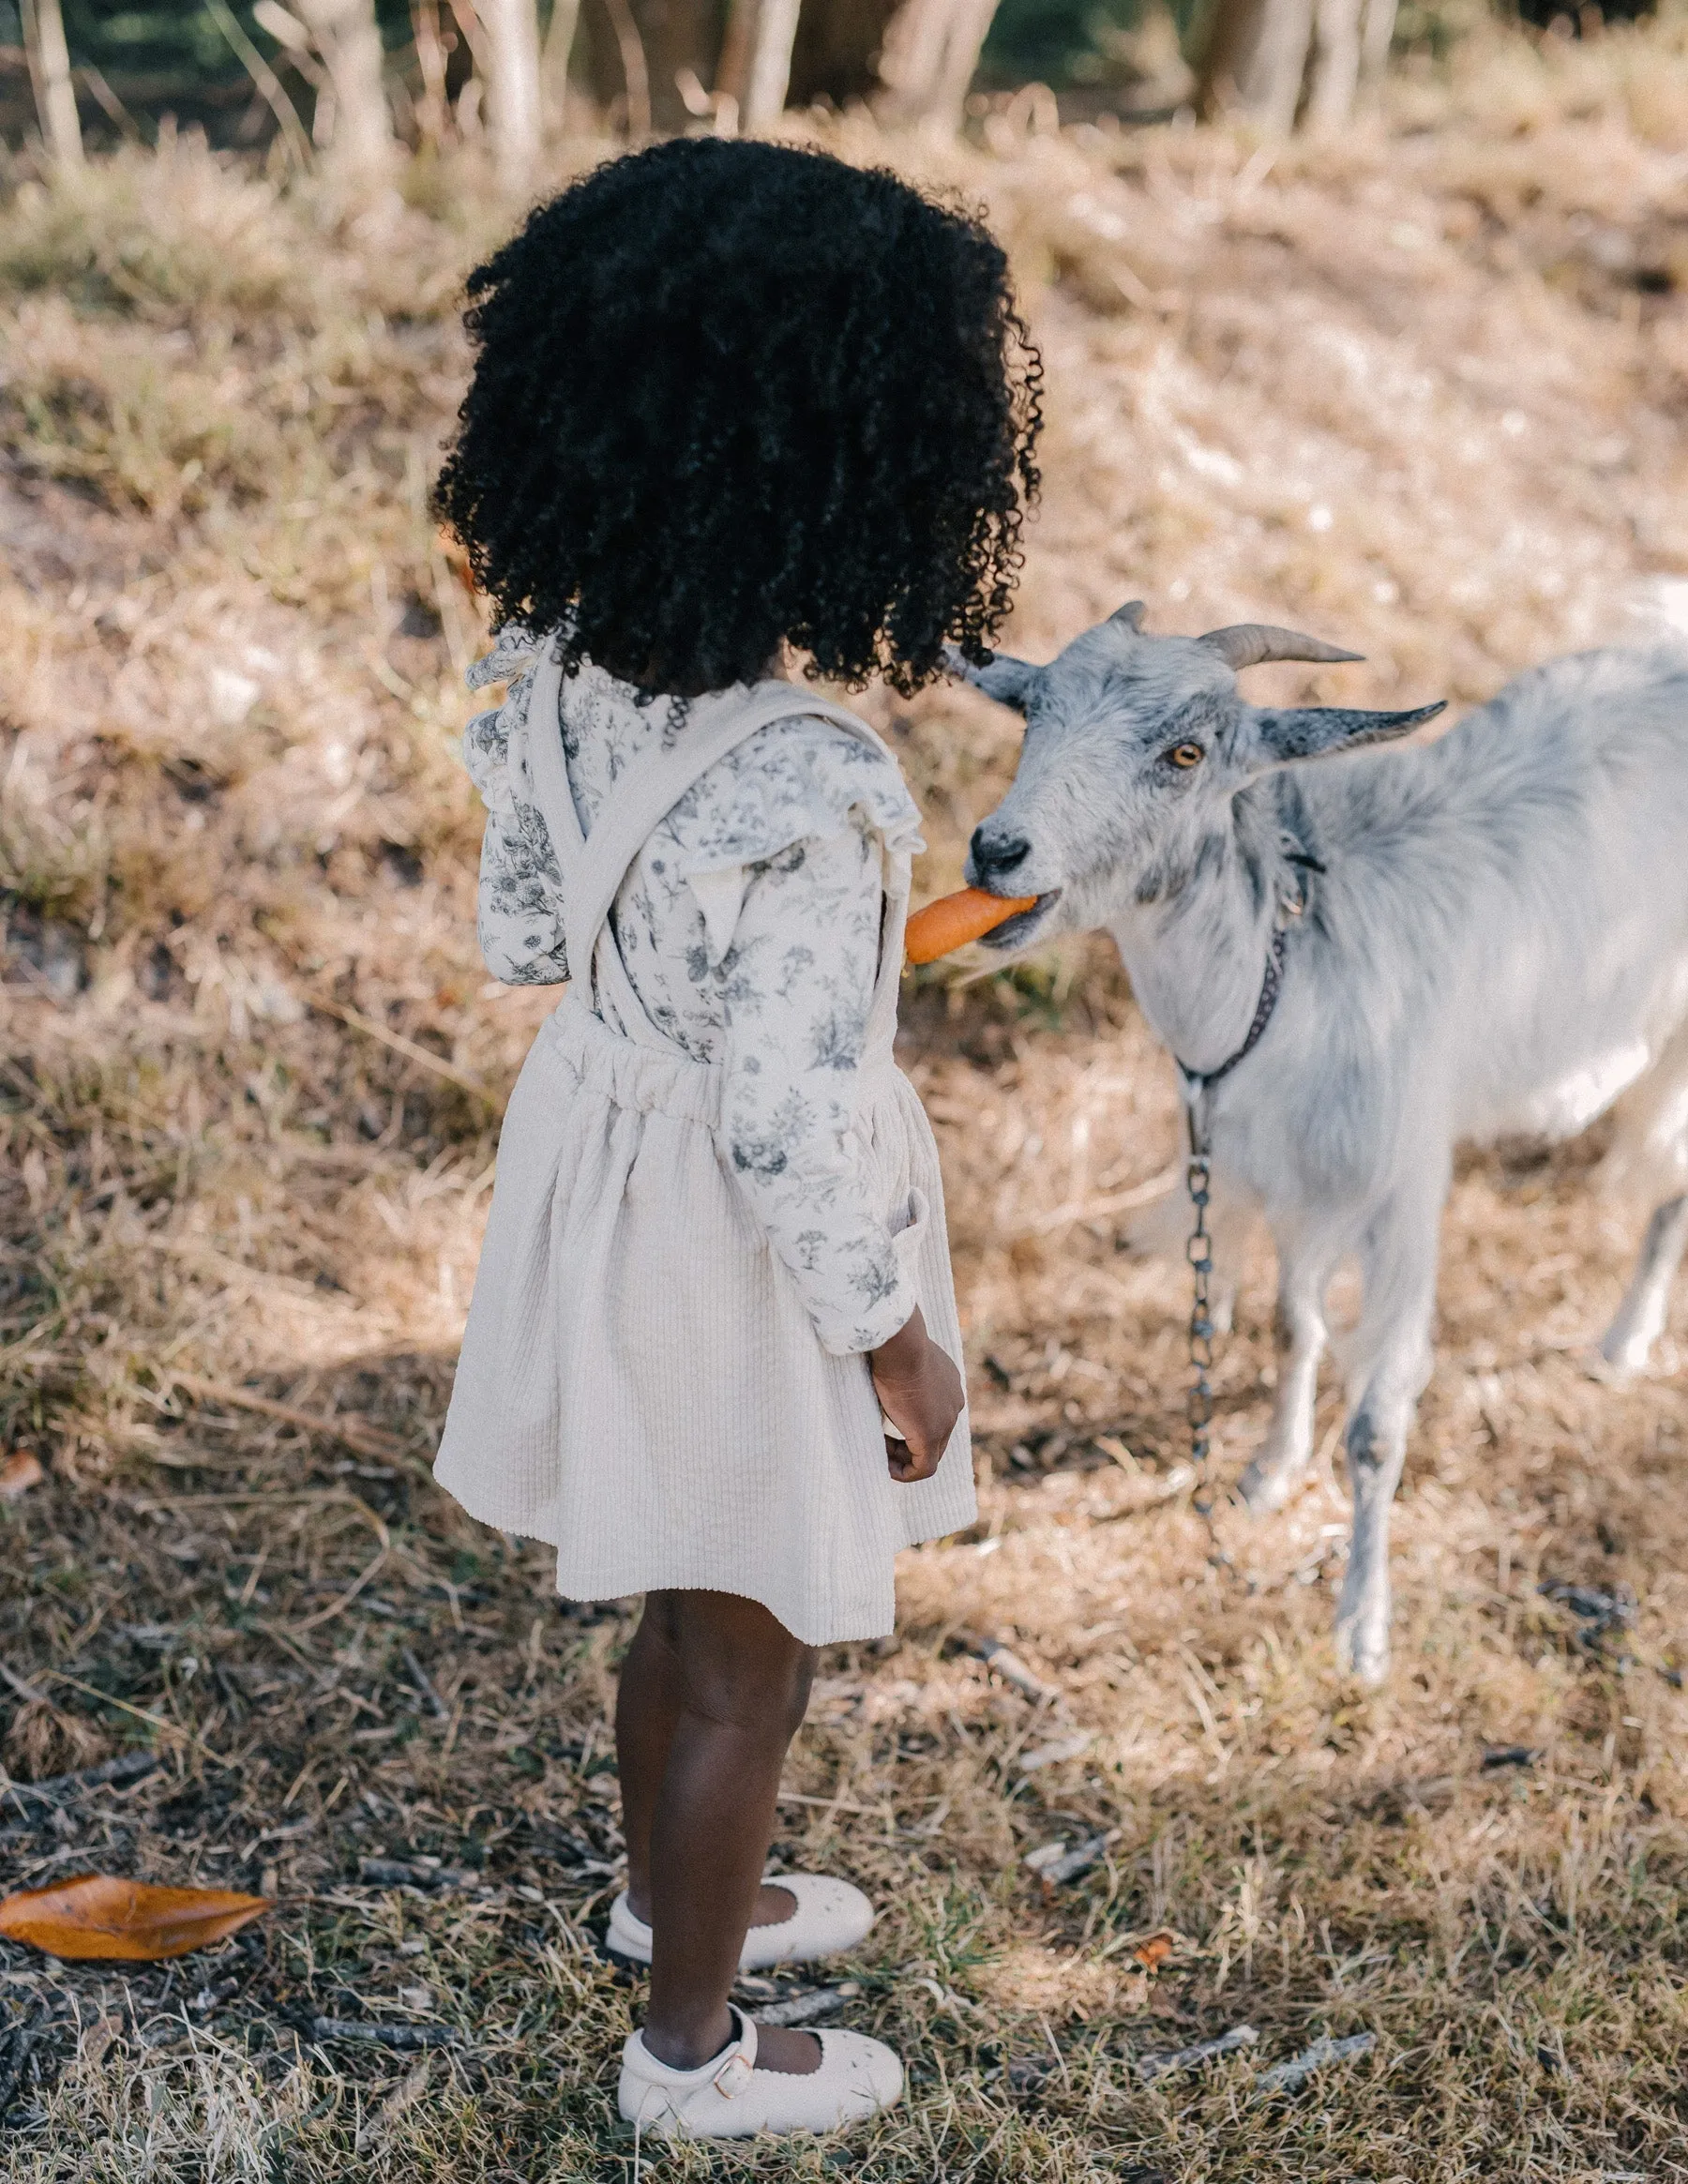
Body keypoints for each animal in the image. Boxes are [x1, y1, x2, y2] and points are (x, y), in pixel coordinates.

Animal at [956, 607, 1685, 1677]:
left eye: (1186, 752)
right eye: (1031, 714)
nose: (997, 850)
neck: (1290, 962)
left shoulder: (1399, 1187)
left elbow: (1378, 1424)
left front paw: (1362, 1630)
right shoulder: (1285, 1174)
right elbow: (1290, 1324)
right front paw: (1267, 1471)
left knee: (1670, 1187)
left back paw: (1626, 1342)